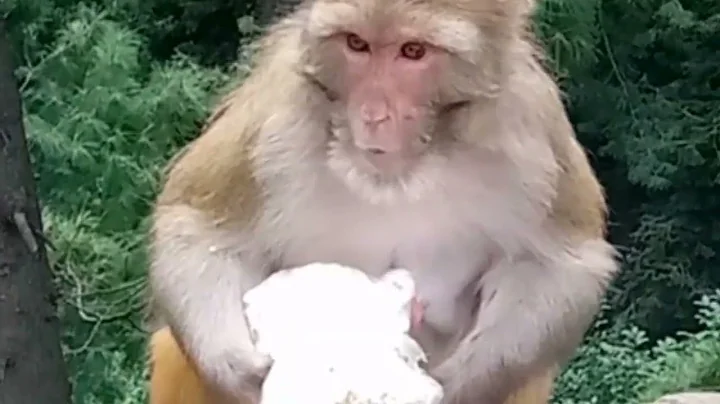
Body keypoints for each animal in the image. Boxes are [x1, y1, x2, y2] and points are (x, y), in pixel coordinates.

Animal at [146, 0, 620, 403]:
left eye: (413, 51)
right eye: (357, 44)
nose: (375, 114)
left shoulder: (528, 127)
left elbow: (562, 265)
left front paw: (458, 383)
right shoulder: (276, 114)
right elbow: (197, 224)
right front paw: (238, 370)